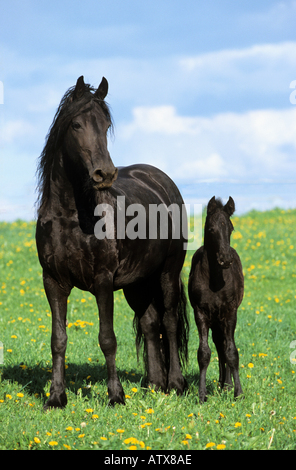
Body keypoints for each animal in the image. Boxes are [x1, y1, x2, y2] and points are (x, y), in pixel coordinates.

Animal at [34, 76, 187, 408]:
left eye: (105, 126)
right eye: (76, 124)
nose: (104, 173)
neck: (71, 216)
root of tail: (163, 181)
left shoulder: (102, 281)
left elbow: (107, 339)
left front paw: (116, 396)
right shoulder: (52, 281)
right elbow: (58, 339)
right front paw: (56, 397)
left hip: (168, 272)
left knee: (169, 322)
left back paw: (175, 384)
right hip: (137, 282)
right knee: (150, 322)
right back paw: (154, 384)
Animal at [188, 196, 244, 402]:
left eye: (231, 228)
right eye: (211, 229)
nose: (225, 259)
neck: (215, 280)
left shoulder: (230, 312)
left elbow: (231, 352)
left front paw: (238, 393)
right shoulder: (201, 313)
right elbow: (204, 353)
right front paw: (202, 394)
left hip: (221, 318)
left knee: (224, 346)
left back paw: (227, 385)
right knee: (219, 345)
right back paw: (222, 384)